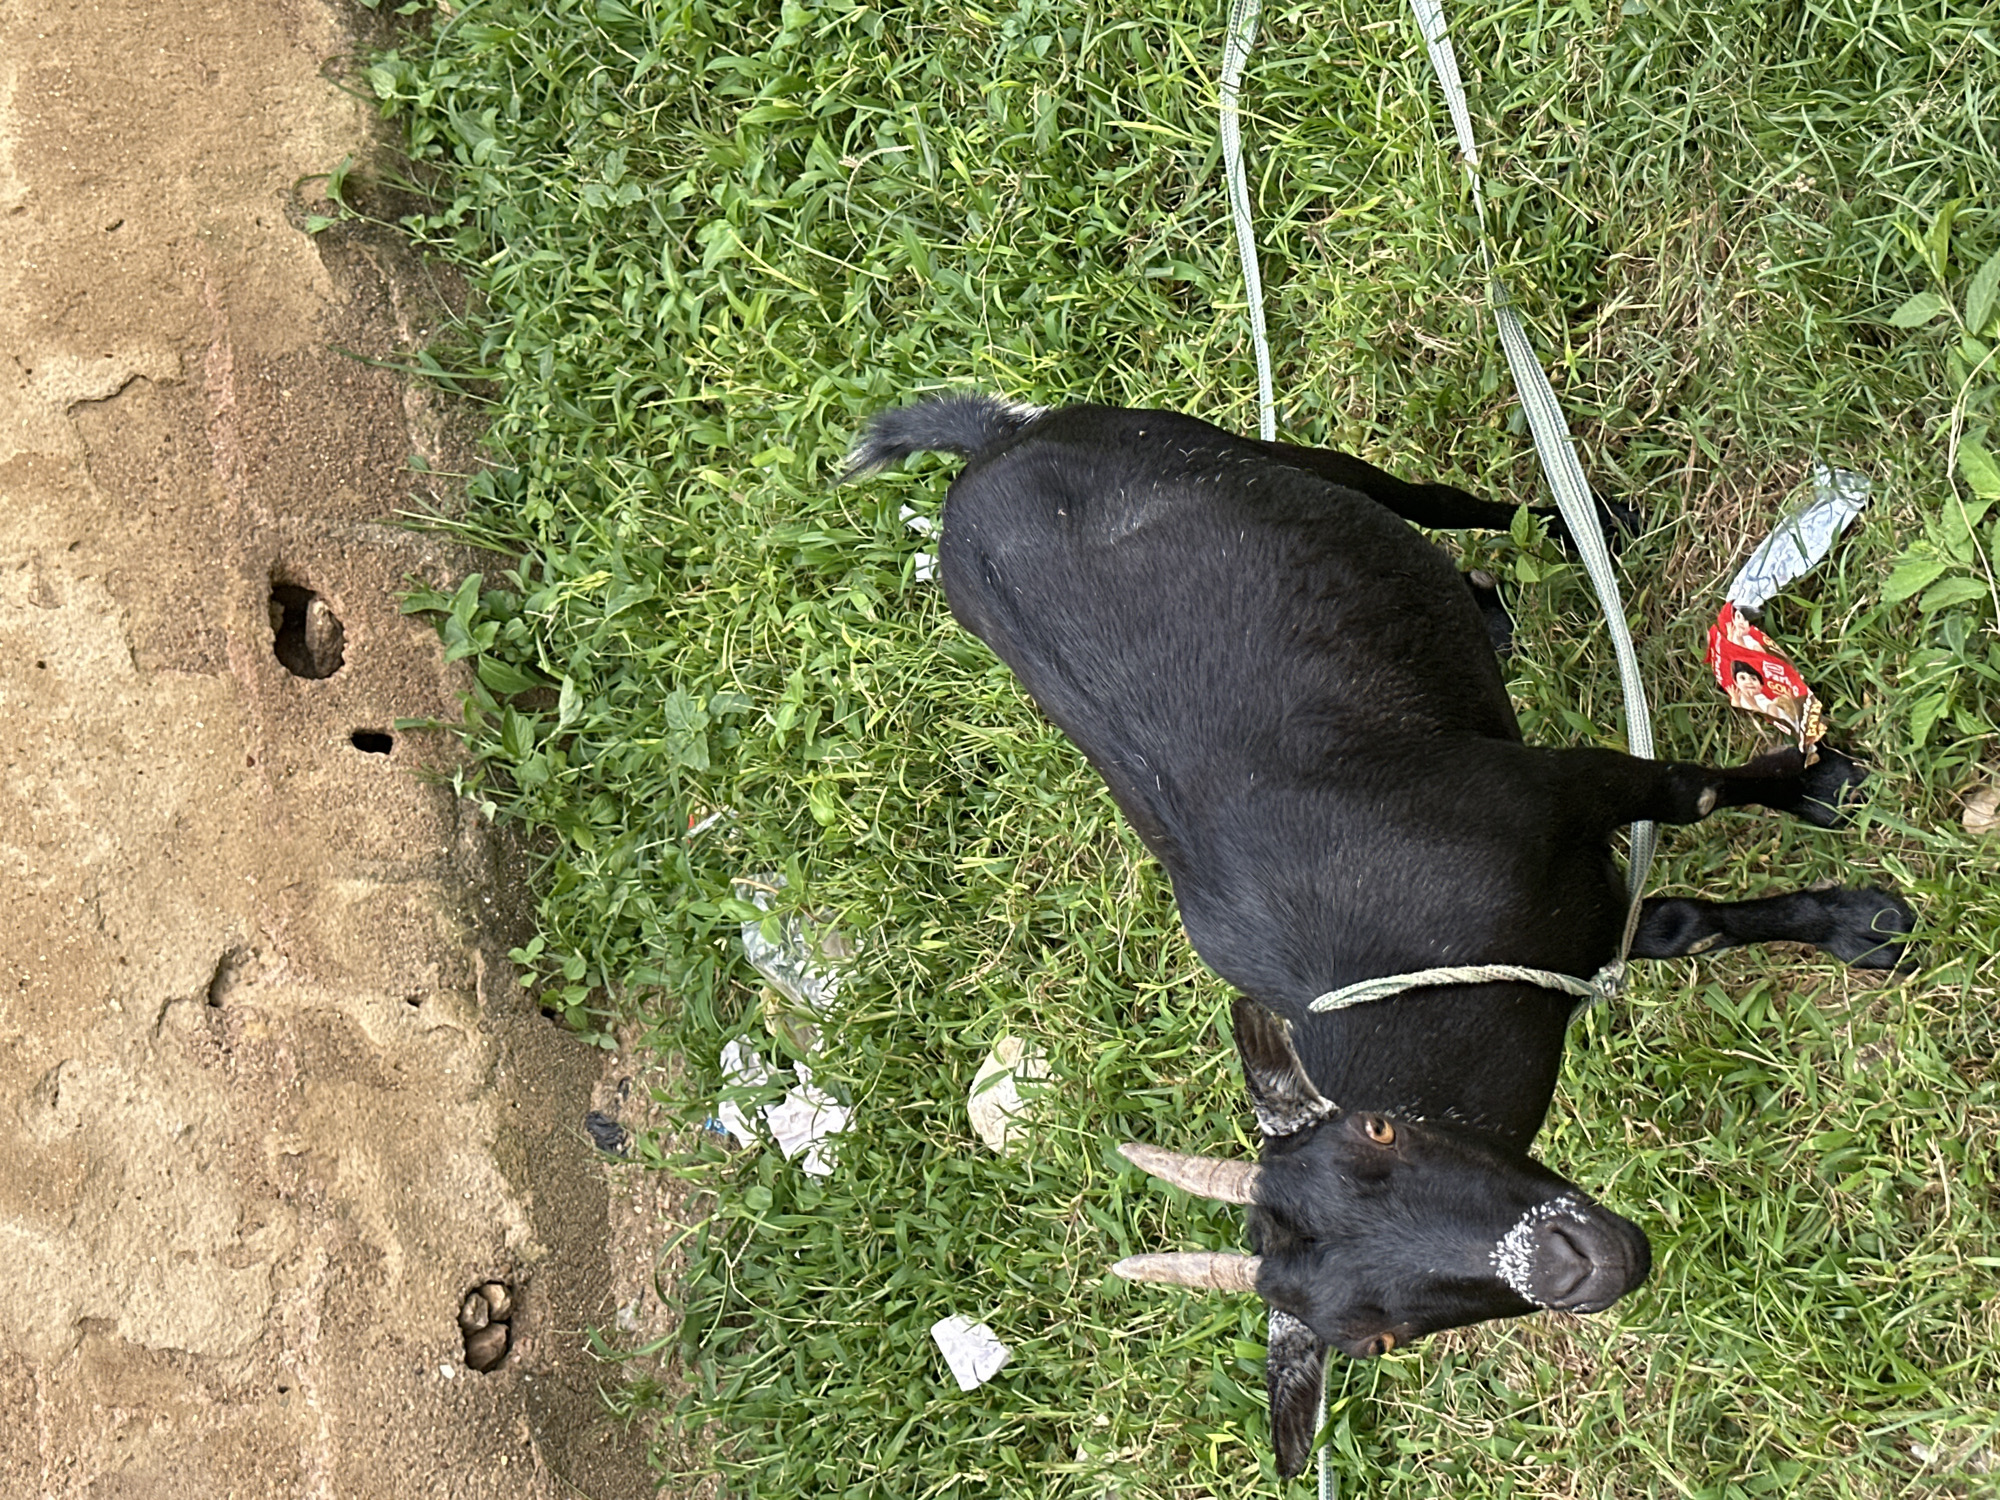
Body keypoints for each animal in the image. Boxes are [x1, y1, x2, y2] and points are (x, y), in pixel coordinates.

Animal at [846, 394, 1914, 1477]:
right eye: (1378, 1337)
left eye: (1379, 1132)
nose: (1573, 1265)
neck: (1421, 966)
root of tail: (985, 449)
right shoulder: (1575, 932)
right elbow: (1681, 925)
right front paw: (1853, 921)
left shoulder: (1551, 789)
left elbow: (1691, 793)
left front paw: (1820, 802)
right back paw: (1491, 609)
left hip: (1224, 448)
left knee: (1421, 497)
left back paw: (1593, 526)